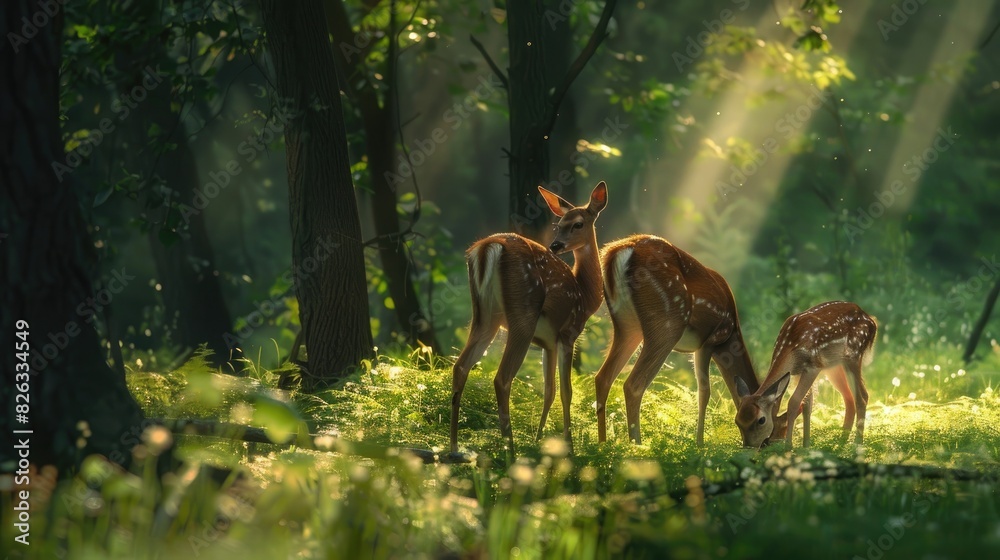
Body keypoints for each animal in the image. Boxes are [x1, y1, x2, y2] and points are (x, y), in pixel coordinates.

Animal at [449, 182, 608, 459]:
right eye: (559, 224)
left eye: (577, 224)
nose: (555, 245)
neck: (586, 295)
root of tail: (485, 249)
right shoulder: (568, 333)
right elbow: (566, 391)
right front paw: (569, 447)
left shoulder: (548, 343)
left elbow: (549, 391)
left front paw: (539, 439)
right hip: (522, 314)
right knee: (502, 379)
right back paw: (510, 453)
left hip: (484, 315)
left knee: (460, 367)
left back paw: (454, 448)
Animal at [594, 234, 761, 446]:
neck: (732, 333)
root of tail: (621, 250)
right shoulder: (711, 338)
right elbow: (704, 392)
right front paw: (699, 444)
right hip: (667, 322)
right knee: (633, 384)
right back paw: (637, 446)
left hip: (626, 324)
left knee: (602, 377)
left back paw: (602, 445)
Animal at [734, 301, 877, 449]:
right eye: (737, 421)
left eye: (761, 420)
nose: (748, 447)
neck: (791, 349)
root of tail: (872, 321)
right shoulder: (798, 372)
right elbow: (808, 404)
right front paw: (806, 446)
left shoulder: (812, 367)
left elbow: (794, 402)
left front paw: (789, 447)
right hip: (834, 367)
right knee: (848, 398)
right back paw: (839, 445)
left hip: (854, 354)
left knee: (862, 396)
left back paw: (857, 445)